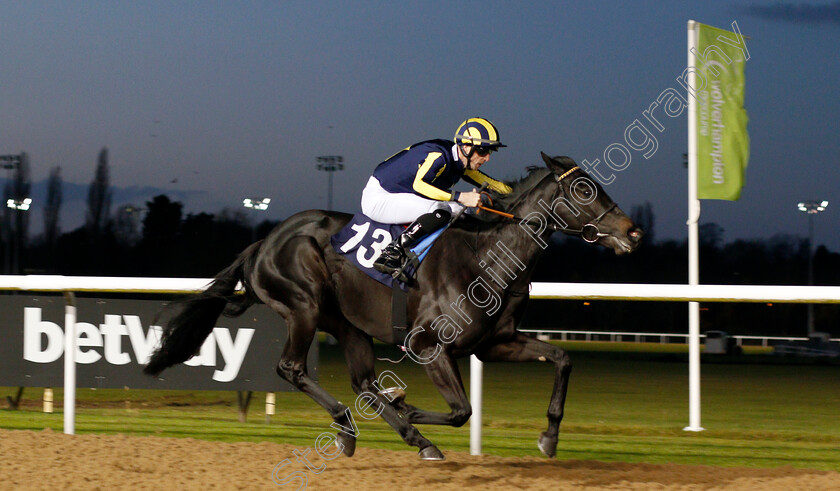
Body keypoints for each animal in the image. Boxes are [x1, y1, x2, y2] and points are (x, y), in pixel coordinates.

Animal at [144, 153, 644, 462]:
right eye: (584, 191)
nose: (633, 232)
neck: (487, 258)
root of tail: (262, 243)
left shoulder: (495, 343)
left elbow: (562, 358)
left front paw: (549, 437)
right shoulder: (428, 346)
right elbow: (462, 410)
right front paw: (408, 407)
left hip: (347, 323)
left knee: (363, 383)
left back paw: (396, 435)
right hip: (303, 305)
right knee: (293, 368)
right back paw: (364, 428)